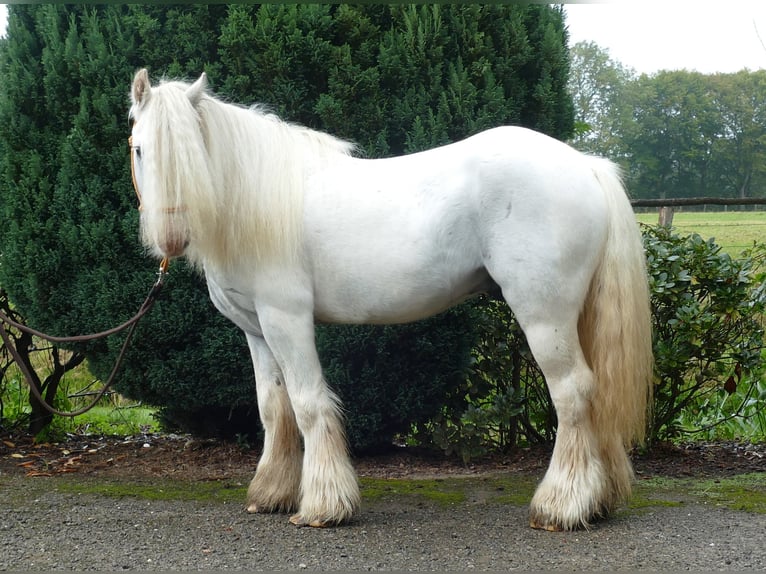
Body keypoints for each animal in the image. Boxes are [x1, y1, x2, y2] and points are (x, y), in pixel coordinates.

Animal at [130, 70, 656, 532]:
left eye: (190, 152)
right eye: (138, 148)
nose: (171, 238)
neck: (255, 202)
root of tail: (586, 165)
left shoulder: (287, 320)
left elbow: (308, 404)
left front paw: (323, 506)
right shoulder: (257, 330)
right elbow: (273, 408)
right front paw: (271, 493)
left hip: (545, 317)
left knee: (573, 392)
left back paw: (560, 507)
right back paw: (598, 500)